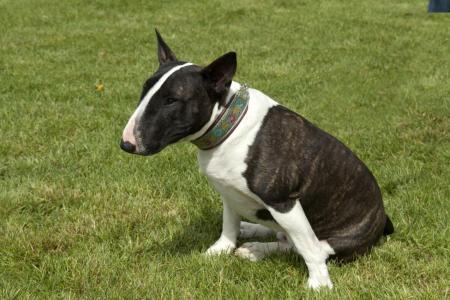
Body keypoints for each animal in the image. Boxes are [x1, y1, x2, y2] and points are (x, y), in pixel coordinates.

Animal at [119, 29, 394, 288]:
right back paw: (252, 233)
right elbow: (229, 223)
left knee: (307, 246)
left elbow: (308, 249)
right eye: (145, 89)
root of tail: (383, 221)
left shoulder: (283, 201)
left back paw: (259, 249)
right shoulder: (227, 191)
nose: (126, 144)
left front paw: (319, 285)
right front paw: (219, 250)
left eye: (171, 100)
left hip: (334, 237)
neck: (227, 125)